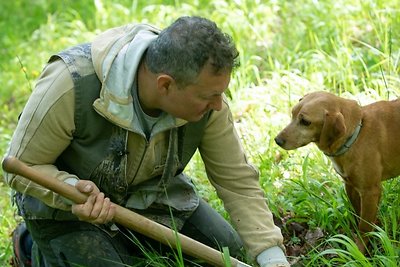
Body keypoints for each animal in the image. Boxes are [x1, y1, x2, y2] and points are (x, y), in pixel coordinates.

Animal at [276, 91, 400, 252]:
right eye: (292, 113)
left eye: (305, 122)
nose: (277, 140)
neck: (357, 133)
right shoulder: (351, 186)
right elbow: (358, 214)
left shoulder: (370, 191)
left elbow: (364, 226)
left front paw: (359, 250)